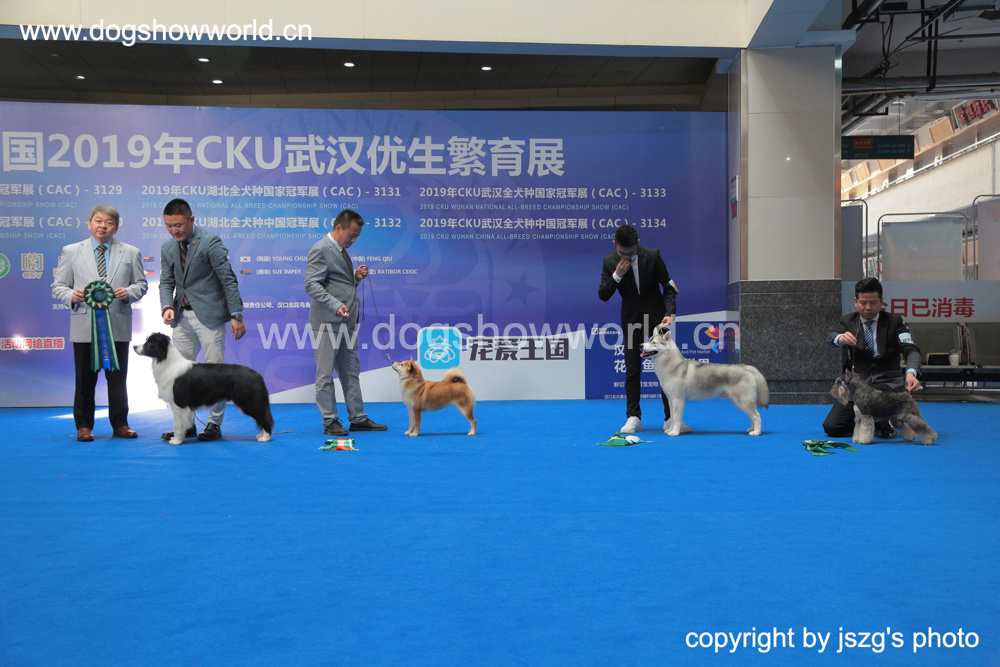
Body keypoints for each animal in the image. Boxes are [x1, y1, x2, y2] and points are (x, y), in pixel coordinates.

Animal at [133, 332, 273, 444]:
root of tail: (257, 375)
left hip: (248, 401)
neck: (166, 360)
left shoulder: (179, 402)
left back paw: (265, 437)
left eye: (149, 343)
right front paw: (179, 437)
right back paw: (260, 435)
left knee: (264, 417)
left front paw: (176, 441)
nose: (134, 346)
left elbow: (177, 423)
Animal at [640, 326, 769, 436]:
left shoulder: (678, 400)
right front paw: (670, 430)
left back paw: (756, 432)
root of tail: (745, 367)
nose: (640, 345)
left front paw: (675, 432)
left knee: (757, 416)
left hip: (742, 401)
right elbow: (672, 418)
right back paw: (752, 429)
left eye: (654, 343)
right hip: (740, 401)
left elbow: (676, 419)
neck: (673, 366)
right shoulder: (671, 400)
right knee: (752, 416)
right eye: (649, 340)